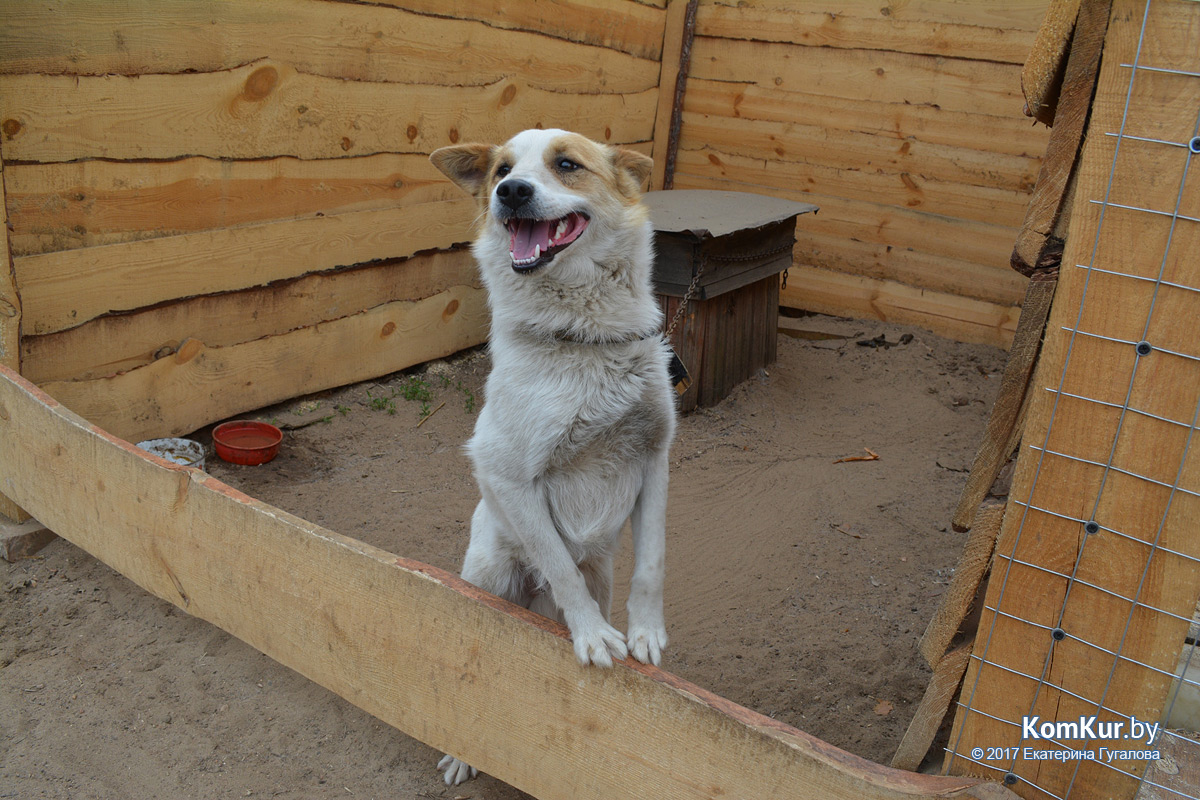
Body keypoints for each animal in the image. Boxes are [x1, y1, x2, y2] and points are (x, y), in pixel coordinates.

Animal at [429, 131, 676, 786]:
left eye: (567, 164)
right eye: (500, 171)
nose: (511, 192)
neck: (586, 341)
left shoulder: (656, 458)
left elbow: (652, 563)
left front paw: (645, 633)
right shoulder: (510, 476)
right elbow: (561, 570)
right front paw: (592, 638)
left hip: (603, 570)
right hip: (491, 578)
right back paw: (460, 756)